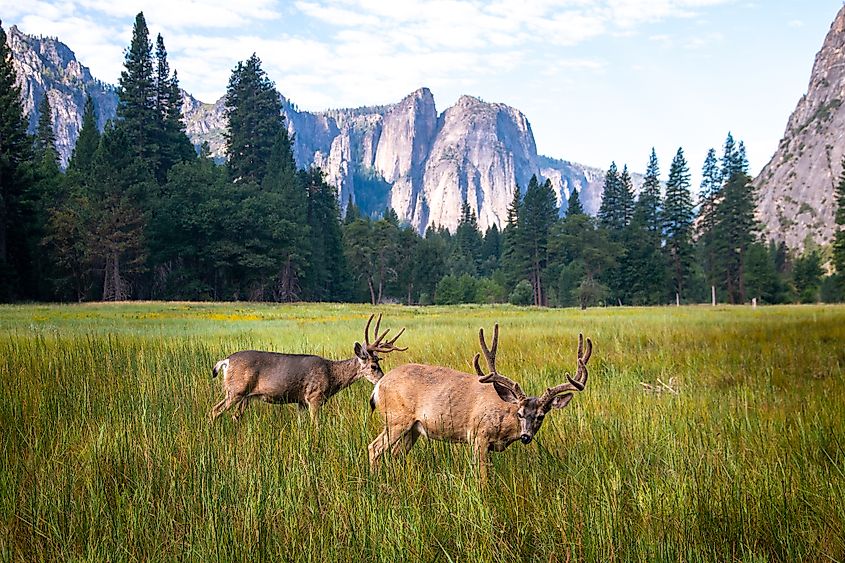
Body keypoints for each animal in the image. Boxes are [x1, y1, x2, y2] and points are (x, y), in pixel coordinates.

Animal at [211, 312, 408, 424]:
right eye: (374, 366)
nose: (383, 379)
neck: (332, 375)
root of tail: (226, 361)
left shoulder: (301, 402)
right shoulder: (314, 397)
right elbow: (315, 426)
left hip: (246, 396)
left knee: (235, 416)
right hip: (235, 390)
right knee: (214, 411)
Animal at [366, 324, 592, 482]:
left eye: (541, 416)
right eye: (519, 413)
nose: (526, 436)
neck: (504, 418)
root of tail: (379, 385)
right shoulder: (478, 436)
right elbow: (482, 475)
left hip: (413, 428)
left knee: (395, 454)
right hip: (396, 419)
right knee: (374, 447)